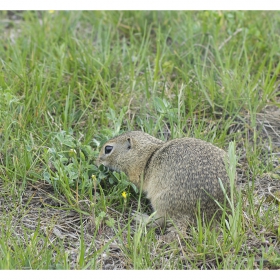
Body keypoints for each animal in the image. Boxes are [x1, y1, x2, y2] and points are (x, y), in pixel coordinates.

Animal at [96, 131, 230, 228]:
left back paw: (140, 217)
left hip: (161, 201)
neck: (148, 155)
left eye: (108, 149)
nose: (96, 161)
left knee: (160, 221)